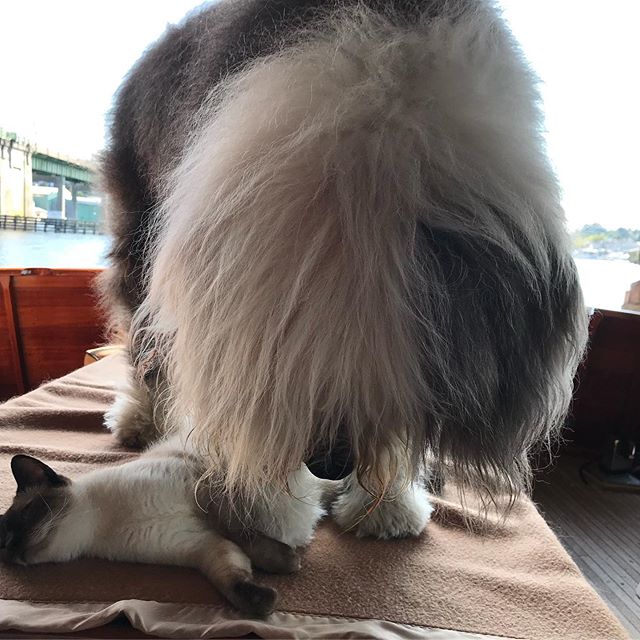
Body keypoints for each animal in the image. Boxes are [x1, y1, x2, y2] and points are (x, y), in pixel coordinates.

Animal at [0, 436, 302, 616]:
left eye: (28, 513)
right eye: (3, 543)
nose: (14, 546)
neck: (100, 524)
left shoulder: (202, 487)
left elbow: (240, 531)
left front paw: (288, 562)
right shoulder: (202, 546)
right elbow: (231, 576)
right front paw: (263, 603)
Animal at [99, 0, 584, 540]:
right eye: (285, 353)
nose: (329, 464)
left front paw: (389, 508)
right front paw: (273, 510)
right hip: (139, 222)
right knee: (144, 334)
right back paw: (139, 417)